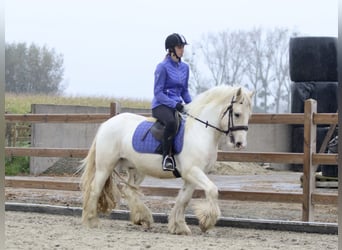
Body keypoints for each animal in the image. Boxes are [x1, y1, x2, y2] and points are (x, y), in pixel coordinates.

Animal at [80, 85, 254, 234]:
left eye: (249, 115)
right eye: (237, 114)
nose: (240, 144)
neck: (200, 131)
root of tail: (106, 124)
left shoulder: (191, 177)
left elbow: (183, 200)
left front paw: (179, 227)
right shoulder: (193, 171)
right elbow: (212, 190)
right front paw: (206, 222)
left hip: (136, 169)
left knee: (128, 190)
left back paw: (143, 218)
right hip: (105, 167)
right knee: (95, 189)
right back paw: (92, 221)